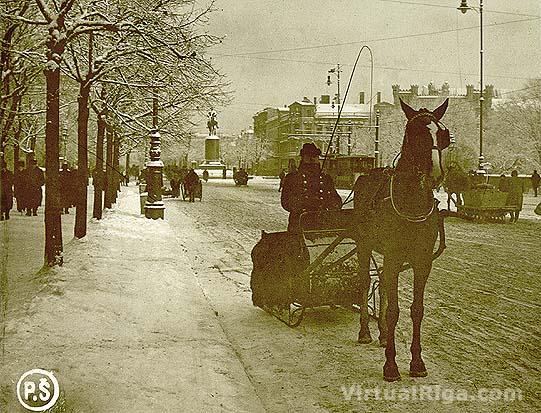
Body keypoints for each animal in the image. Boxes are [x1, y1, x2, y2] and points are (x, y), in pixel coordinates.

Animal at [352, 97, 450, 380]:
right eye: (414, 134)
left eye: (443, 135)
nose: (435, 174)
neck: (412, 204)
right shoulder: (394, 257)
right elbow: (395, 310)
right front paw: (391, 365)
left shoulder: (422, 262)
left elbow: (416, 310)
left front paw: (416, 362)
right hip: (363, 245)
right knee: (365, 283)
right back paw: (366, 332)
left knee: (383, 283)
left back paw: (384, 335)